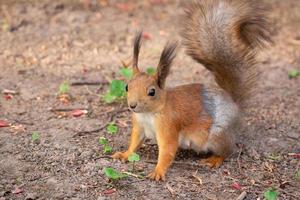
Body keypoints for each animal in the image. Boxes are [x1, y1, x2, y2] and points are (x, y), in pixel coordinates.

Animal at [112, 0, 272, 181]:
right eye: (127, 87)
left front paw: (158, 171)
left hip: (218, 135)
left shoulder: (168, 126)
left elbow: (167, 150)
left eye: (152, 92)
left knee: (228, 151)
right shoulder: (139, 126)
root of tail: (234, 103)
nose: (132, 105)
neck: (149, 113)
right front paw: (124, 155)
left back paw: (214, 159)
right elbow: (134, 143)